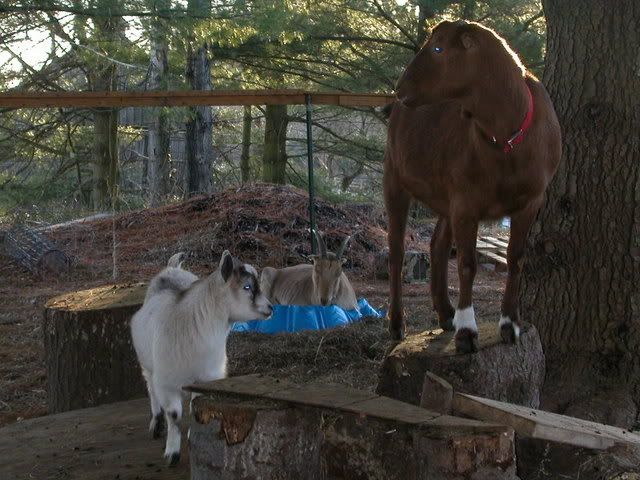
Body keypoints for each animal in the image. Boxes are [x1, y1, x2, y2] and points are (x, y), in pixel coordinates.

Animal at [130, 250, 272, 465]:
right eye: (247, 287)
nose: (271, 308)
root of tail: (171, 269)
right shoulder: (167, 382)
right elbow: (174, 415)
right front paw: (172, 454)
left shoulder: (205, 379)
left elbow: (194, 409)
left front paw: (193, 438)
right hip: (147, 364)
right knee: (150, 387)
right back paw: (156, 422)